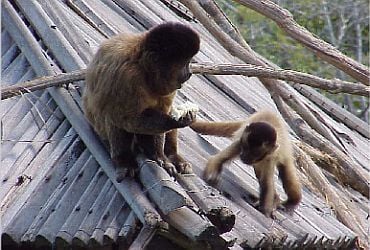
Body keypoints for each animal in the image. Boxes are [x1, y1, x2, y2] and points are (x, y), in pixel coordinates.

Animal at [82, 21, 201, 178]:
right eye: (185, 63)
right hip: (100, 130)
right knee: (115, 115)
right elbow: (128, 119)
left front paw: (160, 156)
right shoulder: (127, 76)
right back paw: (124, 160)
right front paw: (178, 120)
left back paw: (170, 156)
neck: (143, 68)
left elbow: (163, 111)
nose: (189, 73)